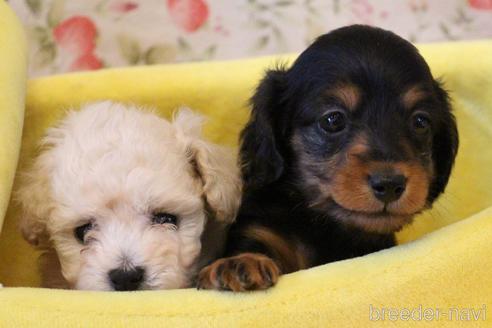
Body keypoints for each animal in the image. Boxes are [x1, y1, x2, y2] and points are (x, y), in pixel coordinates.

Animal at [195, 26, 458, 292]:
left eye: (420, 122)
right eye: (333, 119)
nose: (390, 184)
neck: (326, 226)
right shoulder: (261, 230)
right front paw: (242, 263)